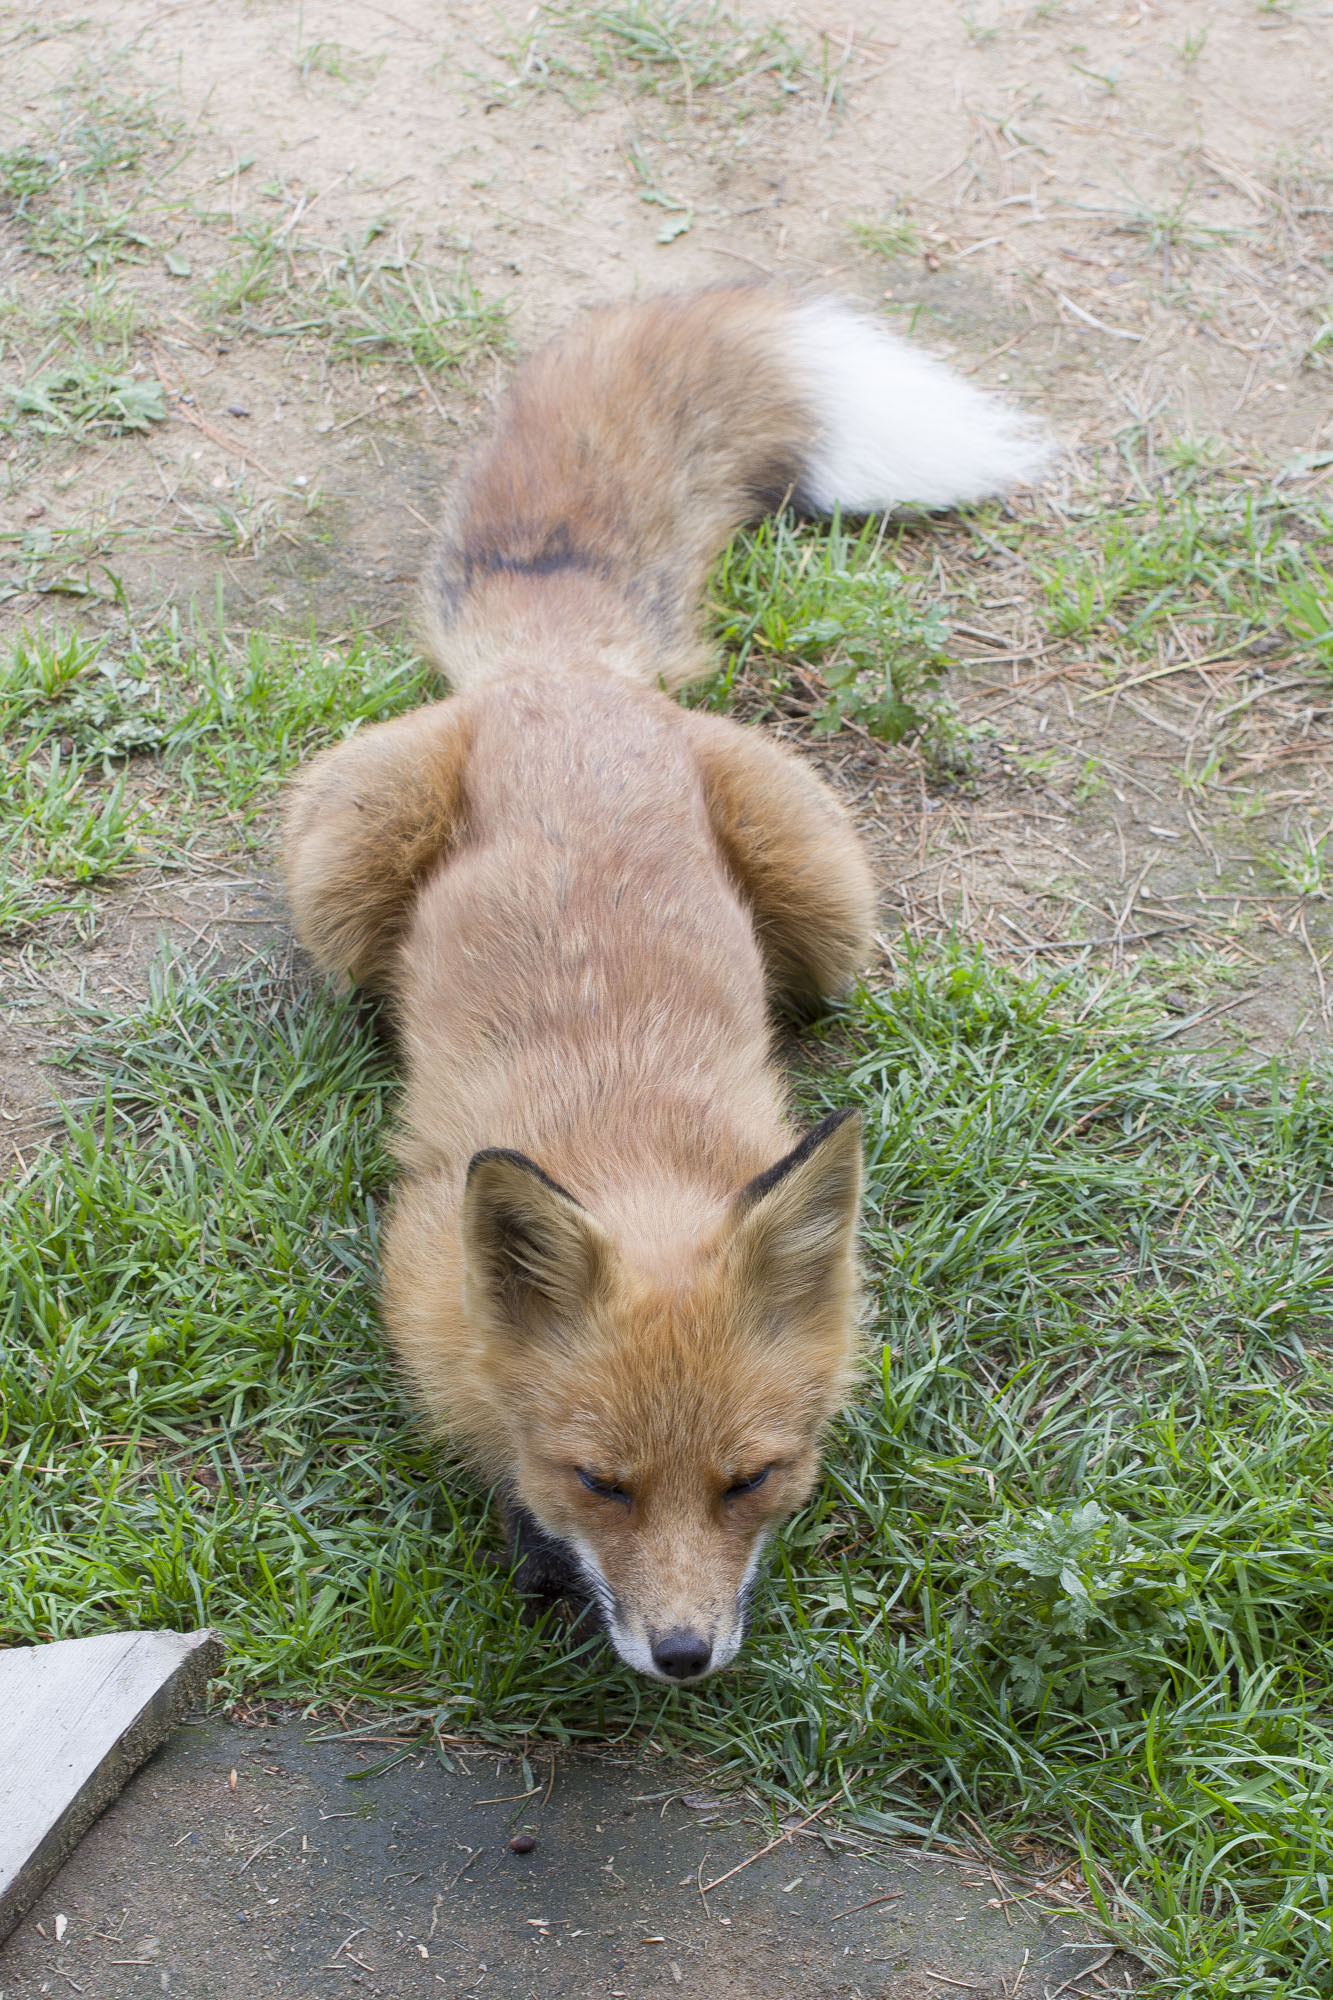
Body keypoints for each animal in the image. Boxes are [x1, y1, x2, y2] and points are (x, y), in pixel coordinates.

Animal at [282, 286, 1048, 1672]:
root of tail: (567, 677)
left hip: (828, 903)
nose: (684, 1653)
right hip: (342, 880)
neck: (630, 1149)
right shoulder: (415, 1262)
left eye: (752, 1479)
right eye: (602, 1482)